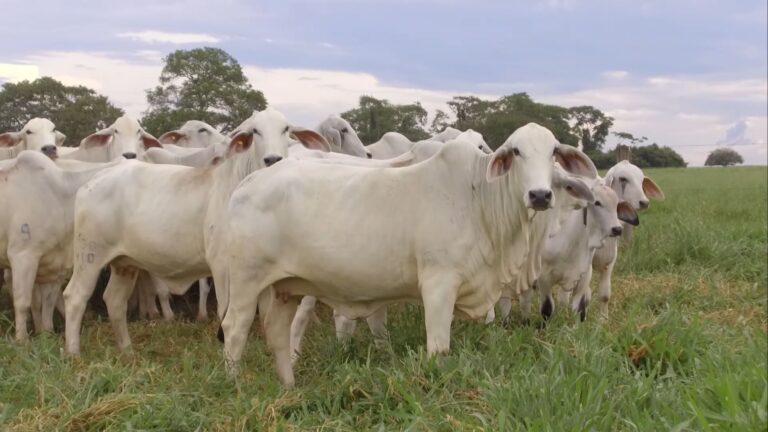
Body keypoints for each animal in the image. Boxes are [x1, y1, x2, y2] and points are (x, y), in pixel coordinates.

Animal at [219, 122, 596, 387]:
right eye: (516, 151)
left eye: (553, 152)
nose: (539, 195)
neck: (479, 198)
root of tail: (249, 182)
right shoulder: (439, 284)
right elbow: (439, 347)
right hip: (246, 282)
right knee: (235, 329)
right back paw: (235, 384)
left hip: (285, 287)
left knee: (277, 333)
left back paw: (288, 387)